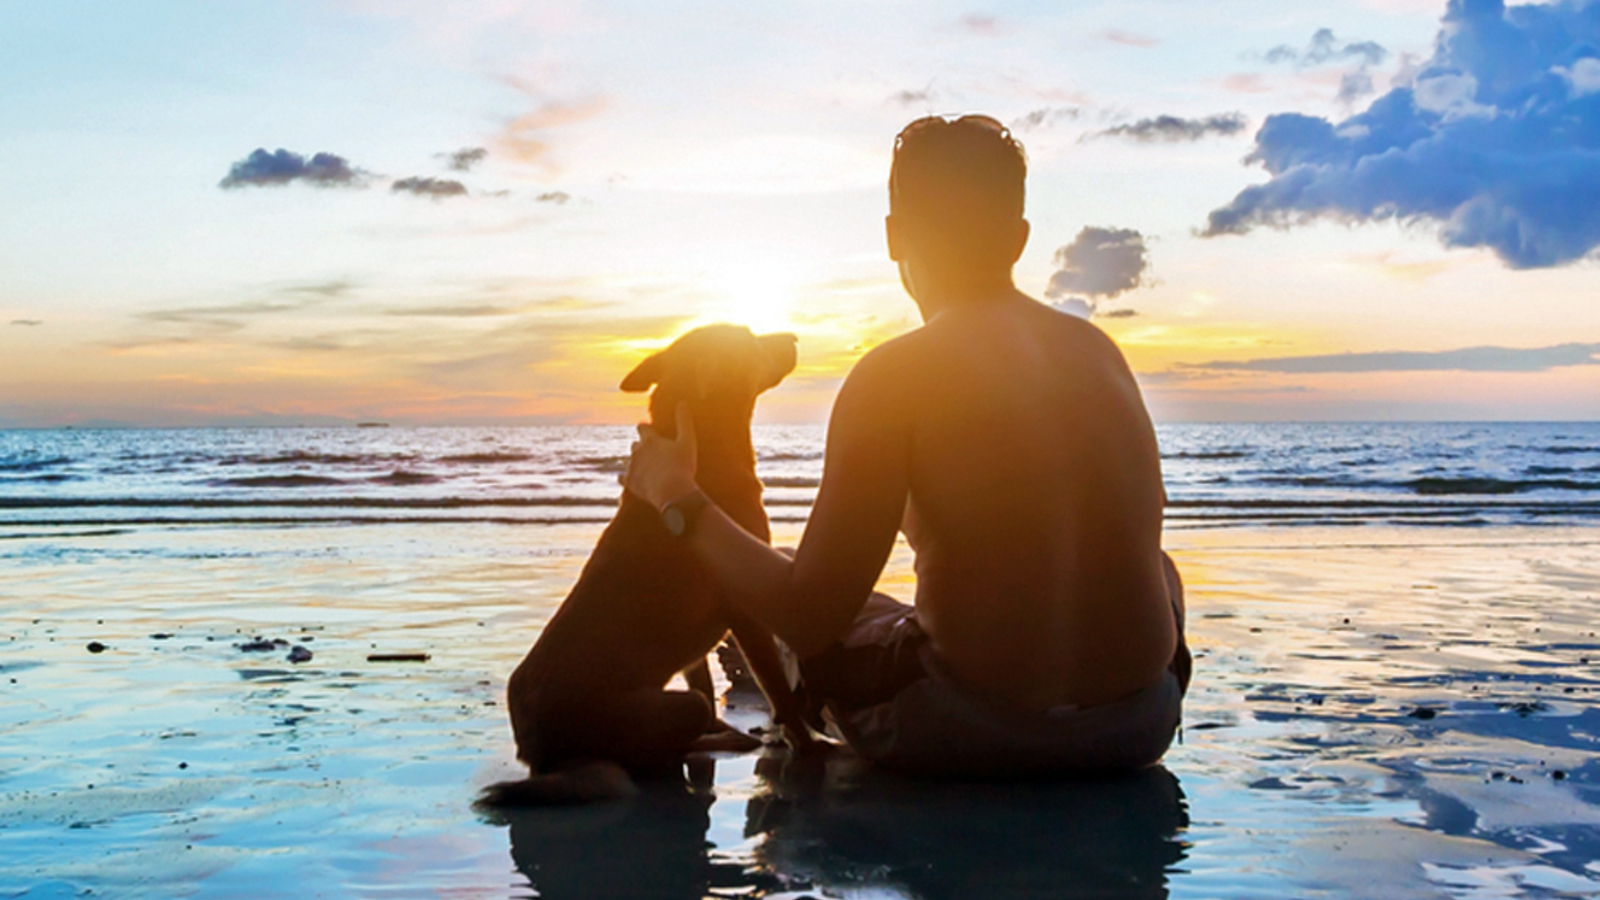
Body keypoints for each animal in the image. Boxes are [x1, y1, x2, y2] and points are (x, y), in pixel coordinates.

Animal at [483, 325, 812, 800]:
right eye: (749, 339)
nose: (794, 337)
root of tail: (542, 758)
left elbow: (704, 676)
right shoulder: (746, 609)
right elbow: (777, 690)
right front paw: (806, 745)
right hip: (669, 711)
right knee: (671, 744)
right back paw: (724, 739)